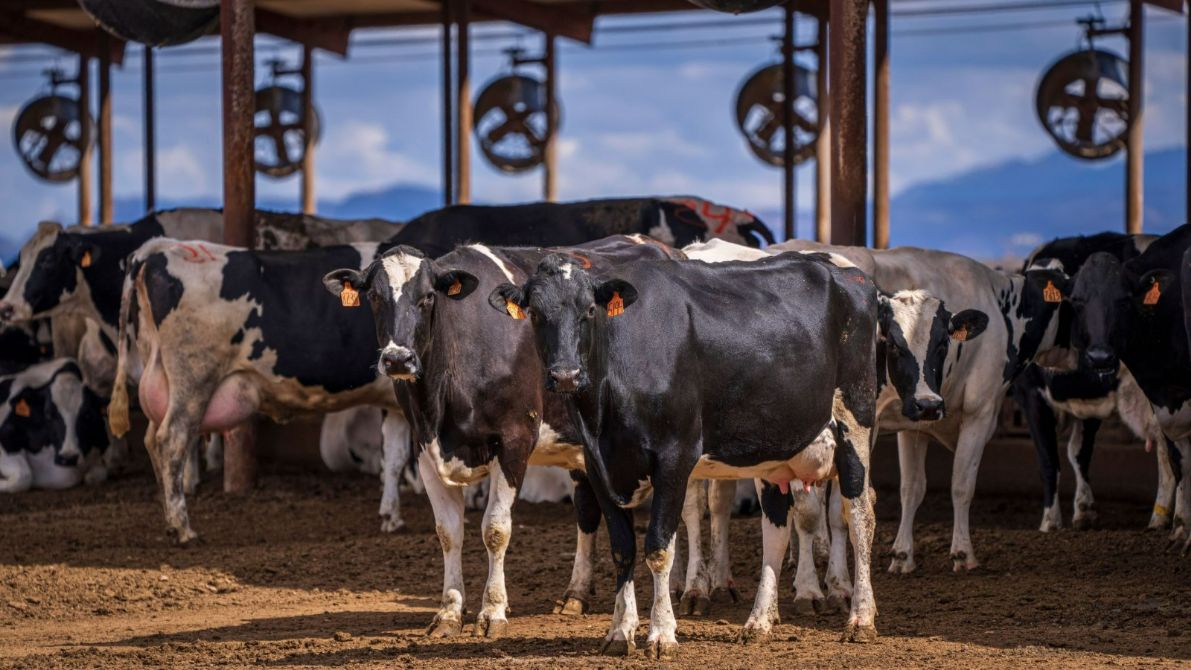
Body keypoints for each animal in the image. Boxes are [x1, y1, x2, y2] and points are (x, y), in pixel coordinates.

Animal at [107, 240, 411, 543]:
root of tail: (162, 247)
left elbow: (394, 457)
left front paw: (391, 517)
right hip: (193, 379)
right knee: (171, 440)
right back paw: (182, 527)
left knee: (151, 440)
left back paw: (168, 518)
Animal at [321, 235, 686, 638]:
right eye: (374, 296)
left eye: (428, 297)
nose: (398, 359)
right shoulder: (425, 447)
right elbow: (448, 532)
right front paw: (449, 612)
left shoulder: (514, 441)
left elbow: (496, 529)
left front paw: (492, 611)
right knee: (588, 510)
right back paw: (576, 594)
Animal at [490, 251, 884, 655]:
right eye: (536, 313)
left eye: (589, 310)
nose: (566, 375)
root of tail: (849, 274)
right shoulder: (598, 465)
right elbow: (623, 549)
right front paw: (619, 632)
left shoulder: (674, 457)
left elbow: (659, 548)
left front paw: (661, 633)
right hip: (774, 448)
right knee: (776, 528)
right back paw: (758, 623)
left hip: (855, 419)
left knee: (859, 515)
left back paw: (860, 619)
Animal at [778, 239, 1068, 573]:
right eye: (892, 343)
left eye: (943, 344)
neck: (1001, 306)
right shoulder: (980, 412)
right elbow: (961, 485)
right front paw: (963, 553)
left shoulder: (914, 424)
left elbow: (912, 488)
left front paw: (902, 555)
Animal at [1063, 224, 1191, 553]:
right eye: (1077, 301)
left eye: (1123, 300)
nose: (1099, 357)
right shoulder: (1163, 395)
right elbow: (1179, 458)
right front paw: (1182, 531)